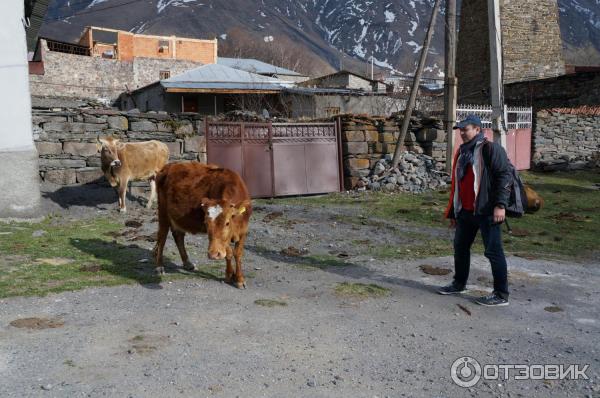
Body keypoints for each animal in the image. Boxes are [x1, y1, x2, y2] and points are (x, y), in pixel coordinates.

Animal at [154, 162, 252, 290]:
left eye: (227, 223)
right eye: (206, 223)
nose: (213, 254)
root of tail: (169, 166)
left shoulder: (243, 231)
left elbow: (238, 254)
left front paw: (239, 279)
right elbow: (229, 253)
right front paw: (229, 275)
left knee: (178, 236)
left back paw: (187, 263)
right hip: (163, 211)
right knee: (162, 236)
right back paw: (159, 266)